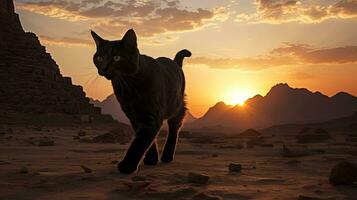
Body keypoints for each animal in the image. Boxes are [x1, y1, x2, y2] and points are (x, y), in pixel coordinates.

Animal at [92, 28, 191, 173]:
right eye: (99, 58)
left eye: (117, 58)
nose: (104, 68)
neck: (128, 86)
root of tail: (175, 62)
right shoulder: (134, 117)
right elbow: (148, 140)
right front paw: (151, 159)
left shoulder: (150, 116)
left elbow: (140, 141)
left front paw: (127, 166)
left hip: (177, 107)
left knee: (174, 129)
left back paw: (167, 156)